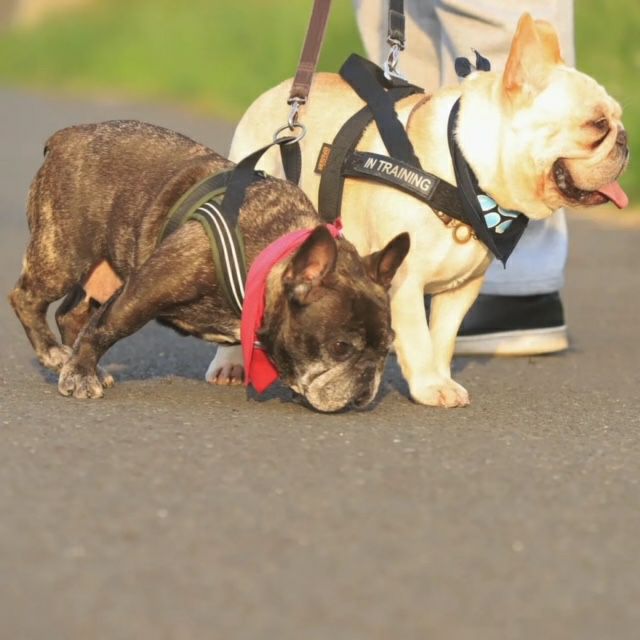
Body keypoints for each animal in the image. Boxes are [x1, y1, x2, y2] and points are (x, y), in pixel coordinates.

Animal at [9, 120, 410, 412]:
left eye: (387, 349)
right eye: (341, 347)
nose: (367, 380)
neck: (266, 259)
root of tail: (68, 135)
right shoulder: (143, 291)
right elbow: (108, 327)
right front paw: (80, 376)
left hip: (98, 269)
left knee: (72, 314)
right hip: (62, 258)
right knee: (26, 298)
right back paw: (55, 354)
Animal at [210, 13, 629, 407]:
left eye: (615, 120)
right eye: (596, 125)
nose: (624, 140)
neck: (465, 174)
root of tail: (284, 97)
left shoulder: (461, 289)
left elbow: (441, 337)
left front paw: (440, 378)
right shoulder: (404, 282)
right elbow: (417, 337)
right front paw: (429, 386)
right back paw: (230, 362)